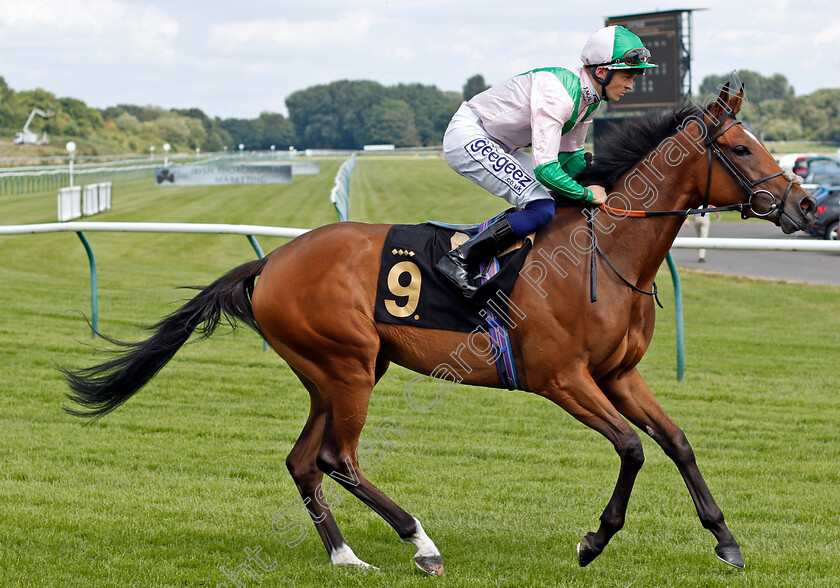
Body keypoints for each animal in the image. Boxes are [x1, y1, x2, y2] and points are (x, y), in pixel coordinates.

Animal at [64, 86, 812, 576]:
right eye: (741, 147)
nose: (806, 205)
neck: (607, 255)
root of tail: (271, 260)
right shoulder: (561, 378)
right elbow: (631, 448)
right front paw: (593, 541)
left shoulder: (618, 374)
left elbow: (678, 443)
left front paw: (725, 540)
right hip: (347, 367)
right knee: (338, 458)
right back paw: (420, 543)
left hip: (335, 371)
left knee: (305, 460)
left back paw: (347, 556)